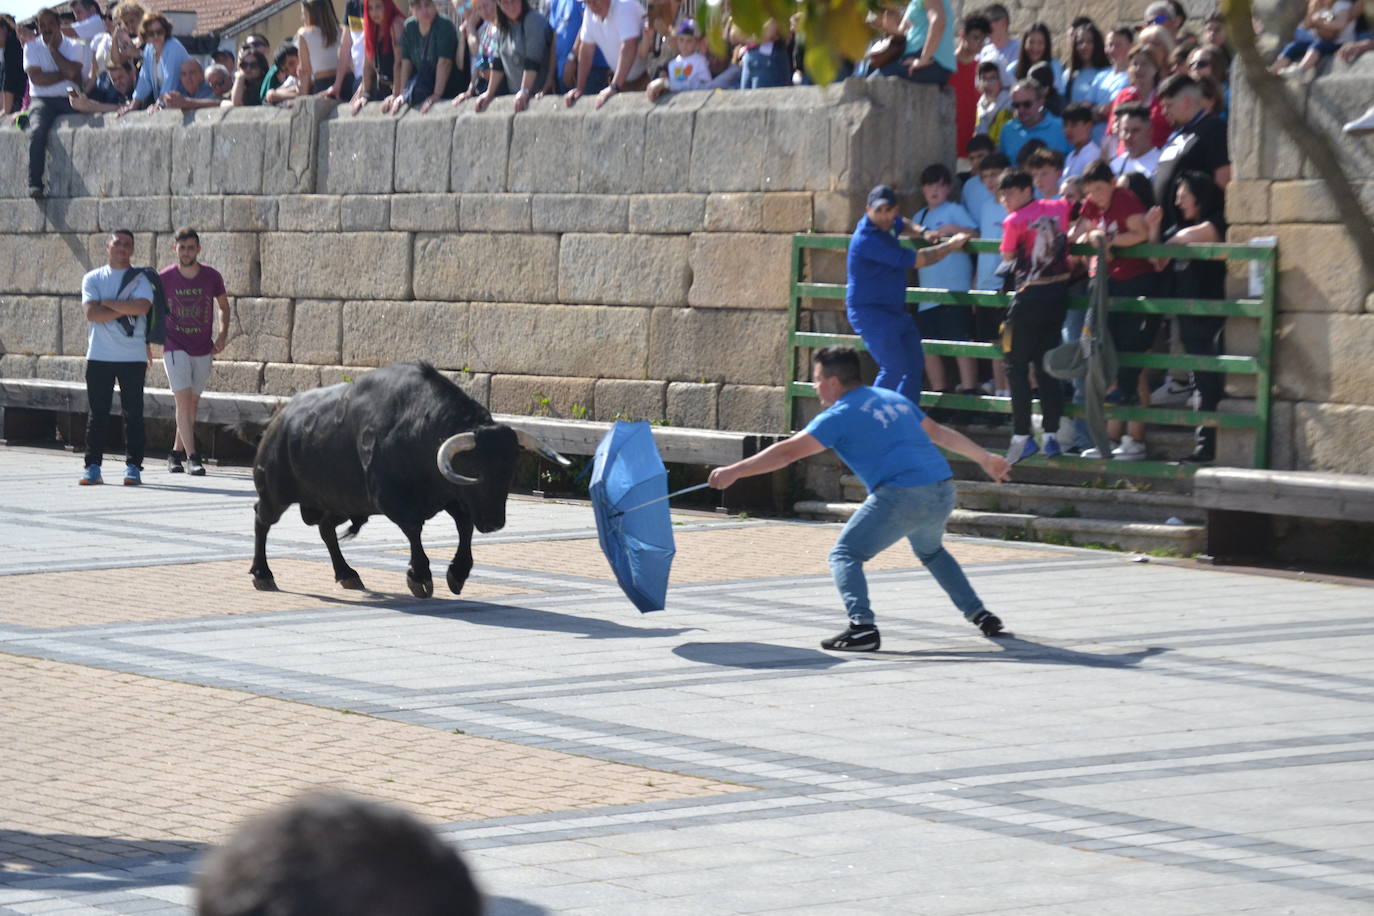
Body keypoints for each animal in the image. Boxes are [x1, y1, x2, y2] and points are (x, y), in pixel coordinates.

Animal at [250, 362, 566, 598]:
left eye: (510, 468)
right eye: (475, 467)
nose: (493, 523)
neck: (419, 433)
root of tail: (279, 420)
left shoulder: (452, 497)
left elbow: (464, 528)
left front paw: (458, 572)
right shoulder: (392, 500)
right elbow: (414, 531)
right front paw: (420, 576)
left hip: (341, 502)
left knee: (326, 529)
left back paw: (347, 574)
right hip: (275, 493)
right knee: (262, 520)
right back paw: (263, 574)